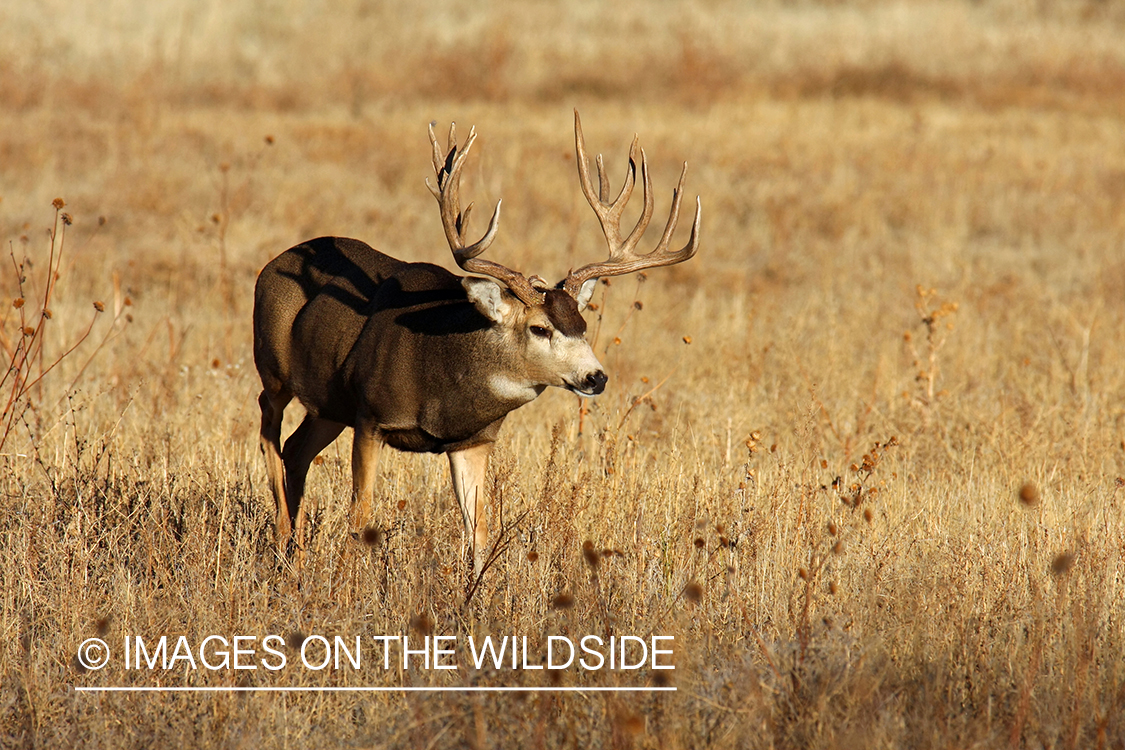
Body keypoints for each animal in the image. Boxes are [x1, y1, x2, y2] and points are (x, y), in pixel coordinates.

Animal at [252, 111, 697, 575]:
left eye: (582, 325)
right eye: (539, 328)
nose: (596, 377)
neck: (442, 380)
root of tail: (273, 264)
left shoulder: (475, 439)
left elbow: (480, 531)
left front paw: (478, 588)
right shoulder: (371, 416)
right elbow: (361, 515)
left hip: (328, 405)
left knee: (295, 449)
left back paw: (296, 552)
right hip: (273, 366)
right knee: (268, 426)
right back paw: (281, 535)